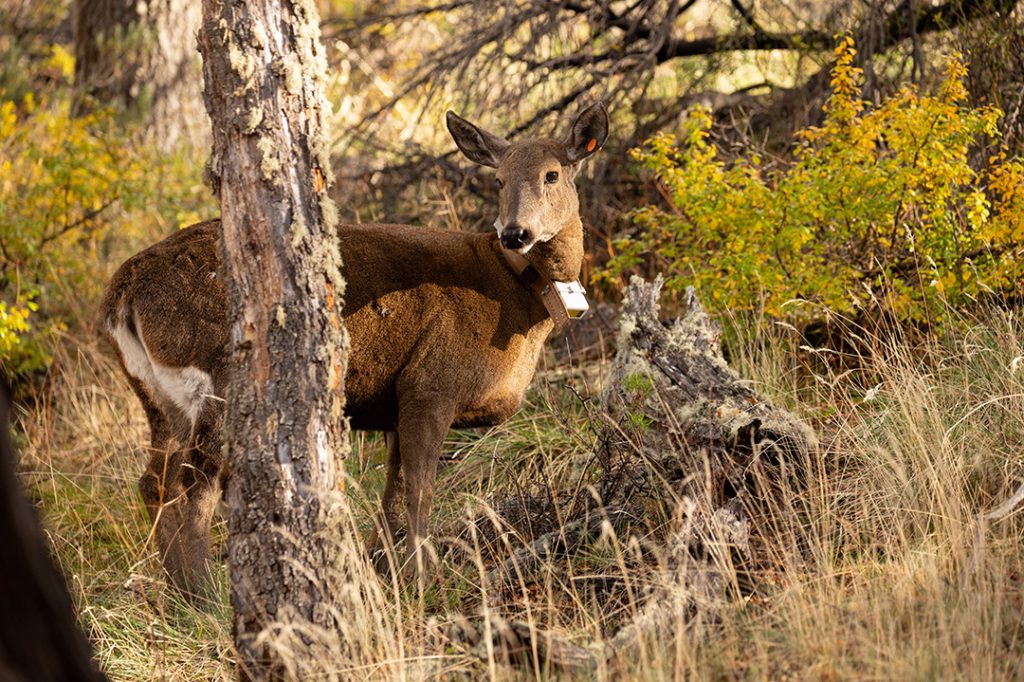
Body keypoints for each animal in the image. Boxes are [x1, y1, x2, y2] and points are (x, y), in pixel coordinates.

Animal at [101, 100, 606, 593]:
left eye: (552, 174)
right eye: (498, 178)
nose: (515, 233)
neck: (516, 295)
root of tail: (123, 293)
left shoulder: (398, 401)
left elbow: (393, 488)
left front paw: (383, 566)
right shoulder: (431, 384)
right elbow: (421, 487)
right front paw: (423, 579)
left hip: (158, 396)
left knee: (154, 482)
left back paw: (178, 596)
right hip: (217, 378)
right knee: (192, 488)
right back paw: (206, 596)